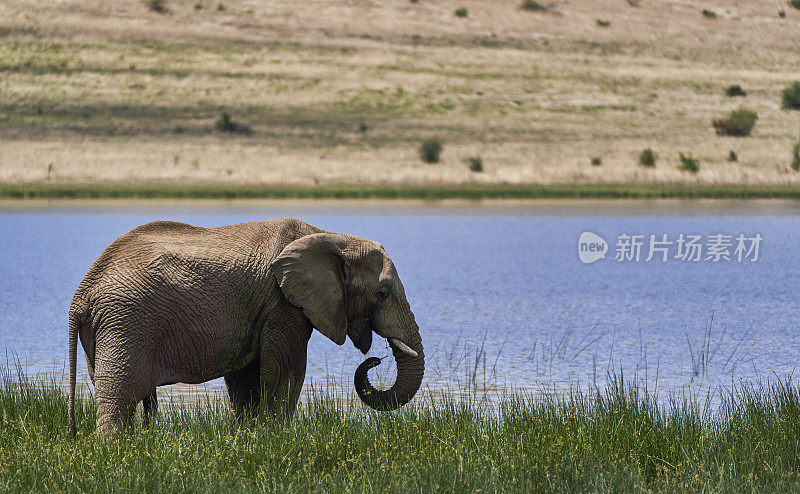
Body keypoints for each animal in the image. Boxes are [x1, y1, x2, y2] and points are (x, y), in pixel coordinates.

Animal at [67, 218, 424, 434]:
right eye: (382, 293)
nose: (376, 359)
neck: (333, 237)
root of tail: (82, 293)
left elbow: (246, 377)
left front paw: (250, 434)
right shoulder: (282, 305)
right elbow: (285, 370)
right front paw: (278, 434)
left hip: (109, 325)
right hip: (125, 320)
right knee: (119, 396)